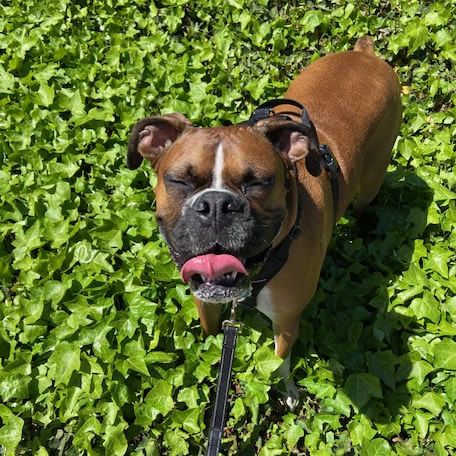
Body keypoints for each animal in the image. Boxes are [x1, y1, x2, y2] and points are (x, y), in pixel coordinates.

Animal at [126, 35, 400, 406]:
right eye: (180, 181)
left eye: (258, 182)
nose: (216, 204)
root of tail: (365, 54)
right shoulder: (204, 300)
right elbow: (210, 333)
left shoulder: (286, 320)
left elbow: (278, 361)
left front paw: (287, 392)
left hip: (372, 176)